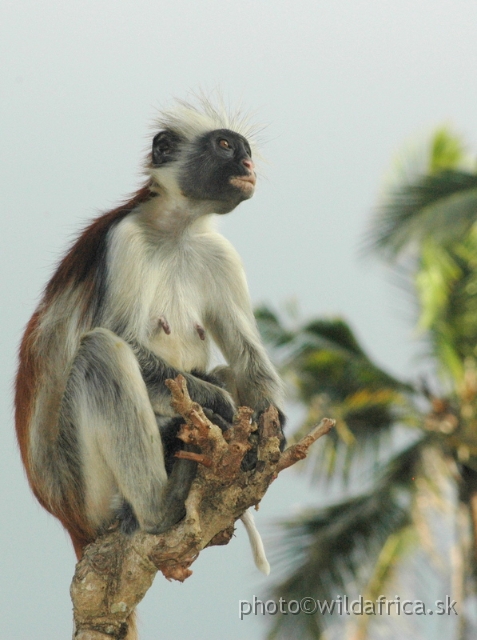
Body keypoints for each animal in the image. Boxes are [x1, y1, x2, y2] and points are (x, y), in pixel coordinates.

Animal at [13, 95, 282, 592]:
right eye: (225, 145)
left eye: (245, 149)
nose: (249, 165)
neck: (177, 230)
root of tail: (69, 520)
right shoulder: (124, 241)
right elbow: (121, 337)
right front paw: (221, 405)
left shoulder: (219, 252)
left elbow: (248, 357)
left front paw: (271, 430)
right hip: (86, 488)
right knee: (102, 350)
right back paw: (160, 506)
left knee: (225, 369)